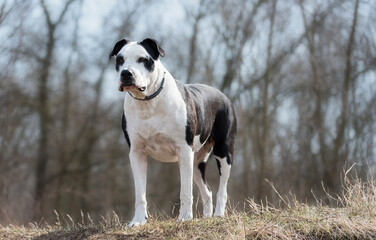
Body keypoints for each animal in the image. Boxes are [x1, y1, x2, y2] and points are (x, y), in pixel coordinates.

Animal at [109, 38, 238, 227]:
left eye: (143, 59)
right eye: (120, 59)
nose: (126, 73)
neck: (147, 102)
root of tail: (223, 95)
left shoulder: (183, 150)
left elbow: (185, 191)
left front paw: (184, 218)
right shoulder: (137, 153)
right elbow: (140, 193)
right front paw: (138, 221)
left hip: (223, 152)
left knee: (223, 188)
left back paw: (218, 215)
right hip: (196, 162)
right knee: (207, 191)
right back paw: (207, 217)